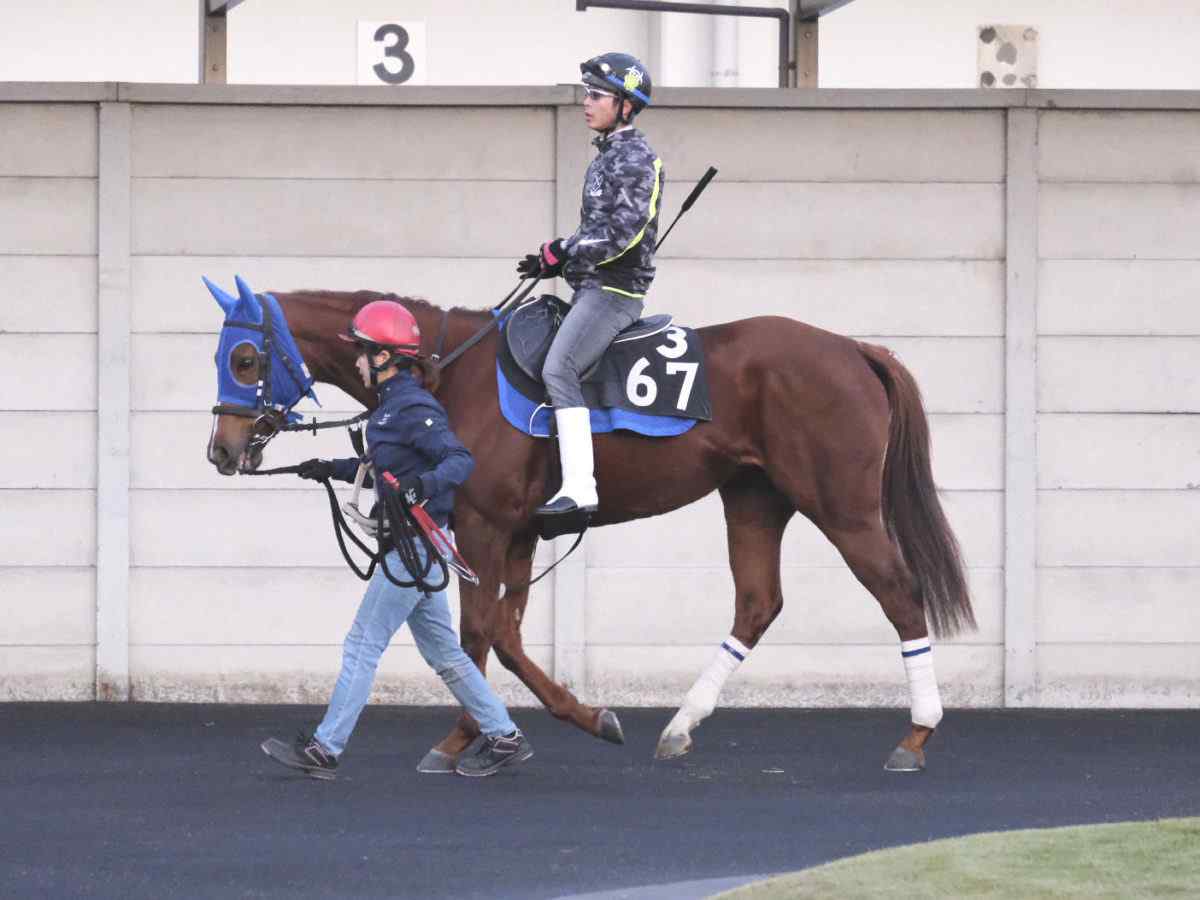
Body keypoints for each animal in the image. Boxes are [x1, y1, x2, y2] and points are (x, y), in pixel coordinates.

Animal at [208, 285, 974, 772]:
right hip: (754, 497)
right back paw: (681, 725)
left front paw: (464, 740)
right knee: (758, 603)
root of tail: (854, 348)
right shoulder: (516, 532)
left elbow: (477, 634)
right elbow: (506, 637)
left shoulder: (486, 525)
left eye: (244, 360)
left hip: (841, 505)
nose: (222, 449)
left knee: (900, 593)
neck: (447, 371)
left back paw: (916, 735)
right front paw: (581, 719)